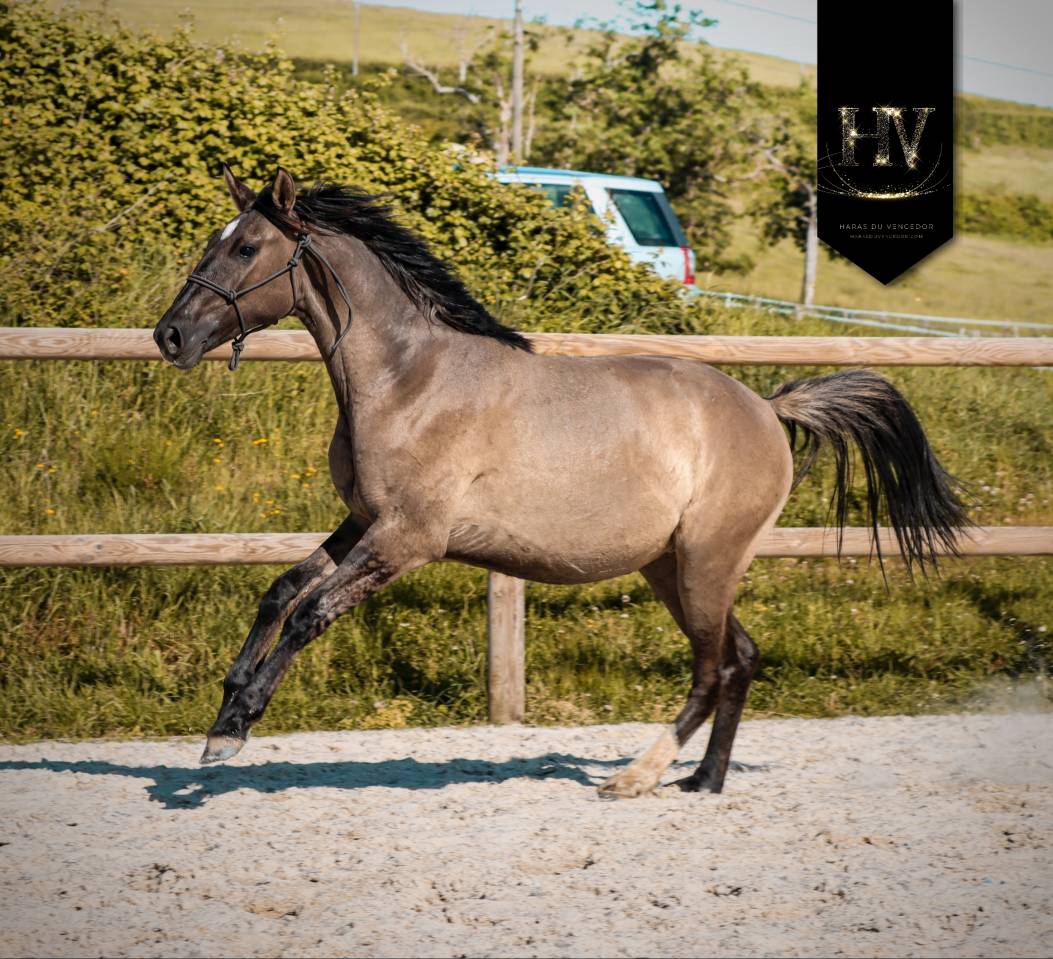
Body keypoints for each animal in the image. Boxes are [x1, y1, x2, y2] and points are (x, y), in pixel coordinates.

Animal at [153, 166, 968, 797]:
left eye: (247, 247)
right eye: (216, 241)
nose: (170, 335)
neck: (406, 379)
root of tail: (767, 409)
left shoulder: (409, 539)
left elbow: (309, 614)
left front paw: (236, 730)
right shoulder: (364, 520)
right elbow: (280, 590)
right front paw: (222, 718)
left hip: (706, 561)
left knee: (712, 668)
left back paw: (636, 776)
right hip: (671, 567)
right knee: (739, 657)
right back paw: (703, 780)